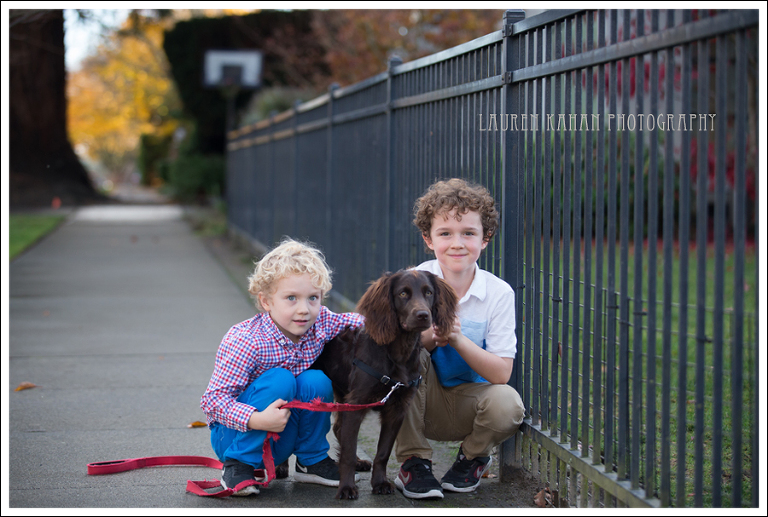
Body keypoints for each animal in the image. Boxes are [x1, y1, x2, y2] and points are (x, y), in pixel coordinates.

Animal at [312, 269, 458, 499]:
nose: (423, 315)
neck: (398, 352)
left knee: (338, 427)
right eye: (403, 294)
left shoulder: (397, 409)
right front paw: (346, 487)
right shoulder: (357, 403)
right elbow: (348, 452)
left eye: (429, 292)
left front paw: (379, 483)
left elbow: (382, 453)